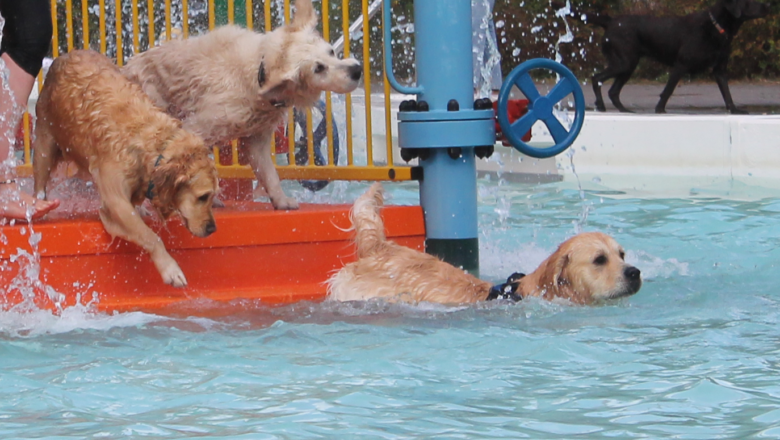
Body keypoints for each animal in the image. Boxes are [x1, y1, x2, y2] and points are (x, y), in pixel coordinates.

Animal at [32, 49, 218, 288]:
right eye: (203, 197)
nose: (213, 229)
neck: (153, 145)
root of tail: (65, 55)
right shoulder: (115, 201)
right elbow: (150, 236)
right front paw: (170, 268)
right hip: (44, 144)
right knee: (40, 181)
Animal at [122, 0, 362, 210]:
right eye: (318, 69)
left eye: (331, 51)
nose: (356, 70)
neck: (258, 74)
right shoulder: (196, 128)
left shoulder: (258, 141)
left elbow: (270, 174)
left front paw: (282, 202)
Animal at [556, 0, 772, 113]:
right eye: (751, 1)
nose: (768, 5)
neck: (716, 26)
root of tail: (610, 20)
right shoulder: (680, 65)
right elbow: (667, 92)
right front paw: (659, 111)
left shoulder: (719, 70)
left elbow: (727, 93)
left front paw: (735, 110)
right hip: (624, 62)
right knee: (597, 78)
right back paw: (601, 106)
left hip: (629, 65)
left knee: (613, 91)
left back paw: (626, 111)